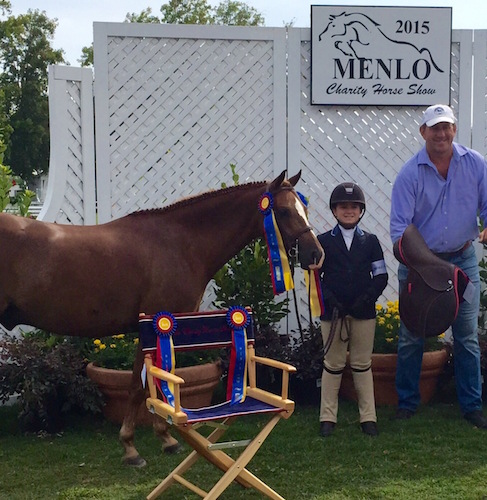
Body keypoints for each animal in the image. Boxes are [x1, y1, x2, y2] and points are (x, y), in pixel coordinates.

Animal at [0, 170, 324, 466]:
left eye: (304, 209)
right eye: (283, 211)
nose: (315, 254)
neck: (181, 242)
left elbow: (150, 383)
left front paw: (162, 439)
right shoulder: (155, 325)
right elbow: (141, 385)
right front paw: (134, 447)